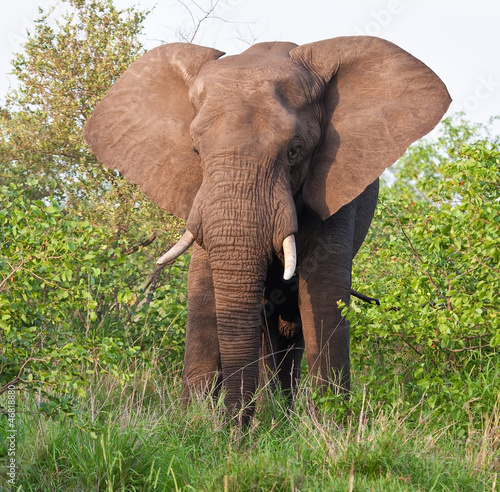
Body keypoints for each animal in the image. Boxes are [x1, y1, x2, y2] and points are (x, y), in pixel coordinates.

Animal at [84, 34, 452, 420]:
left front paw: (330, 425)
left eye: (294, 151)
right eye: (196, 151)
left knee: (293, 330)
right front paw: (191, 422)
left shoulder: (335, 185)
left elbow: (323, 292)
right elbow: (202, 287)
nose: (231, 428)